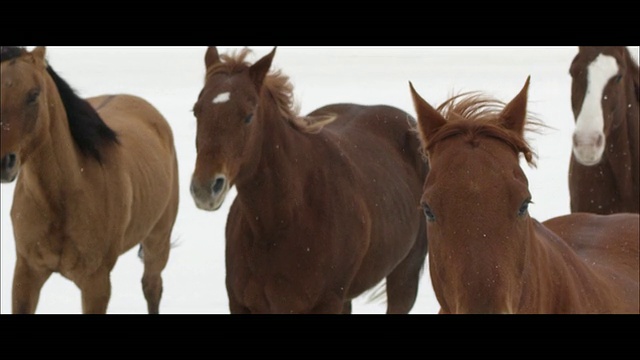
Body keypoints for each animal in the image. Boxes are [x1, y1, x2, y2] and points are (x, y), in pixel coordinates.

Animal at [1, 47, 180, 312]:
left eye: (33, 94)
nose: (4, 162)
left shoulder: (96, 282)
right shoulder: (27, 272)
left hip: (158, 240)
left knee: (152, 287)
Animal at [190, 47, 430, 312]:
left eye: (248, 116)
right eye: (196, 111)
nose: (205, 188)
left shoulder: (327, 302)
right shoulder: (240, 304)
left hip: (404, 277)